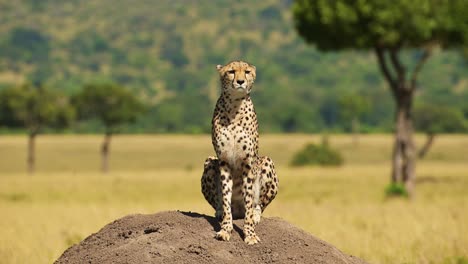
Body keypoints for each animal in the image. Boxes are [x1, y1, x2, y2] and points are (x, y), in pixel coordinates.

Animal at [200, 60, 278, 244]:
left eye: (247, 72)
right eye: (231, 71)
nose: (241, 81)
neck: (234, 106)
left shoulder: (248, 163)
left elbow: (248, 200)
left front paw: (250, 234)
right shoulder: (224, 161)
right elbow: (226, 196)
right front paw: (225, 229)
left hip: (267, 161)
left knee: (258, 205)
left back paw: (256, 215)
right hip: (209, 162)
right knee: (220, 202)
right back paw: (219, 212)